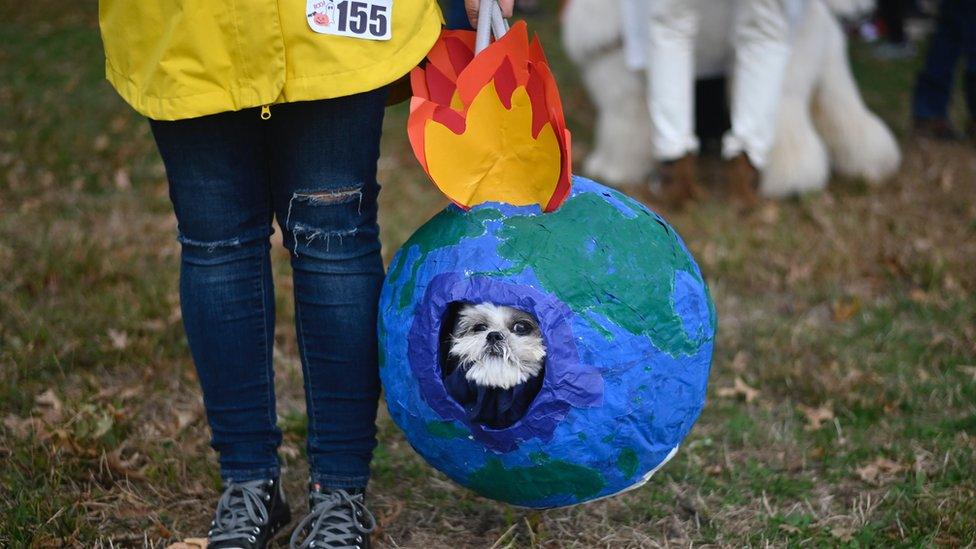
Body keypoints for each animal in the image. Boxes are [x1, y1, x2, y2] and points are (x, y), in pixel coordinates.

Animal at [560, 0, 904, 199]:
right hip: (830, 80)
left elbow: (622, 137)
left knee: (794, 141)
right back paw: (872, 168)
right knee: (854, 125)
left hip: (783, 86)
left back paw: (788, 183)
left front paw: (611, 170)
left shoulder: (623, 95)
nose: (866, 13)